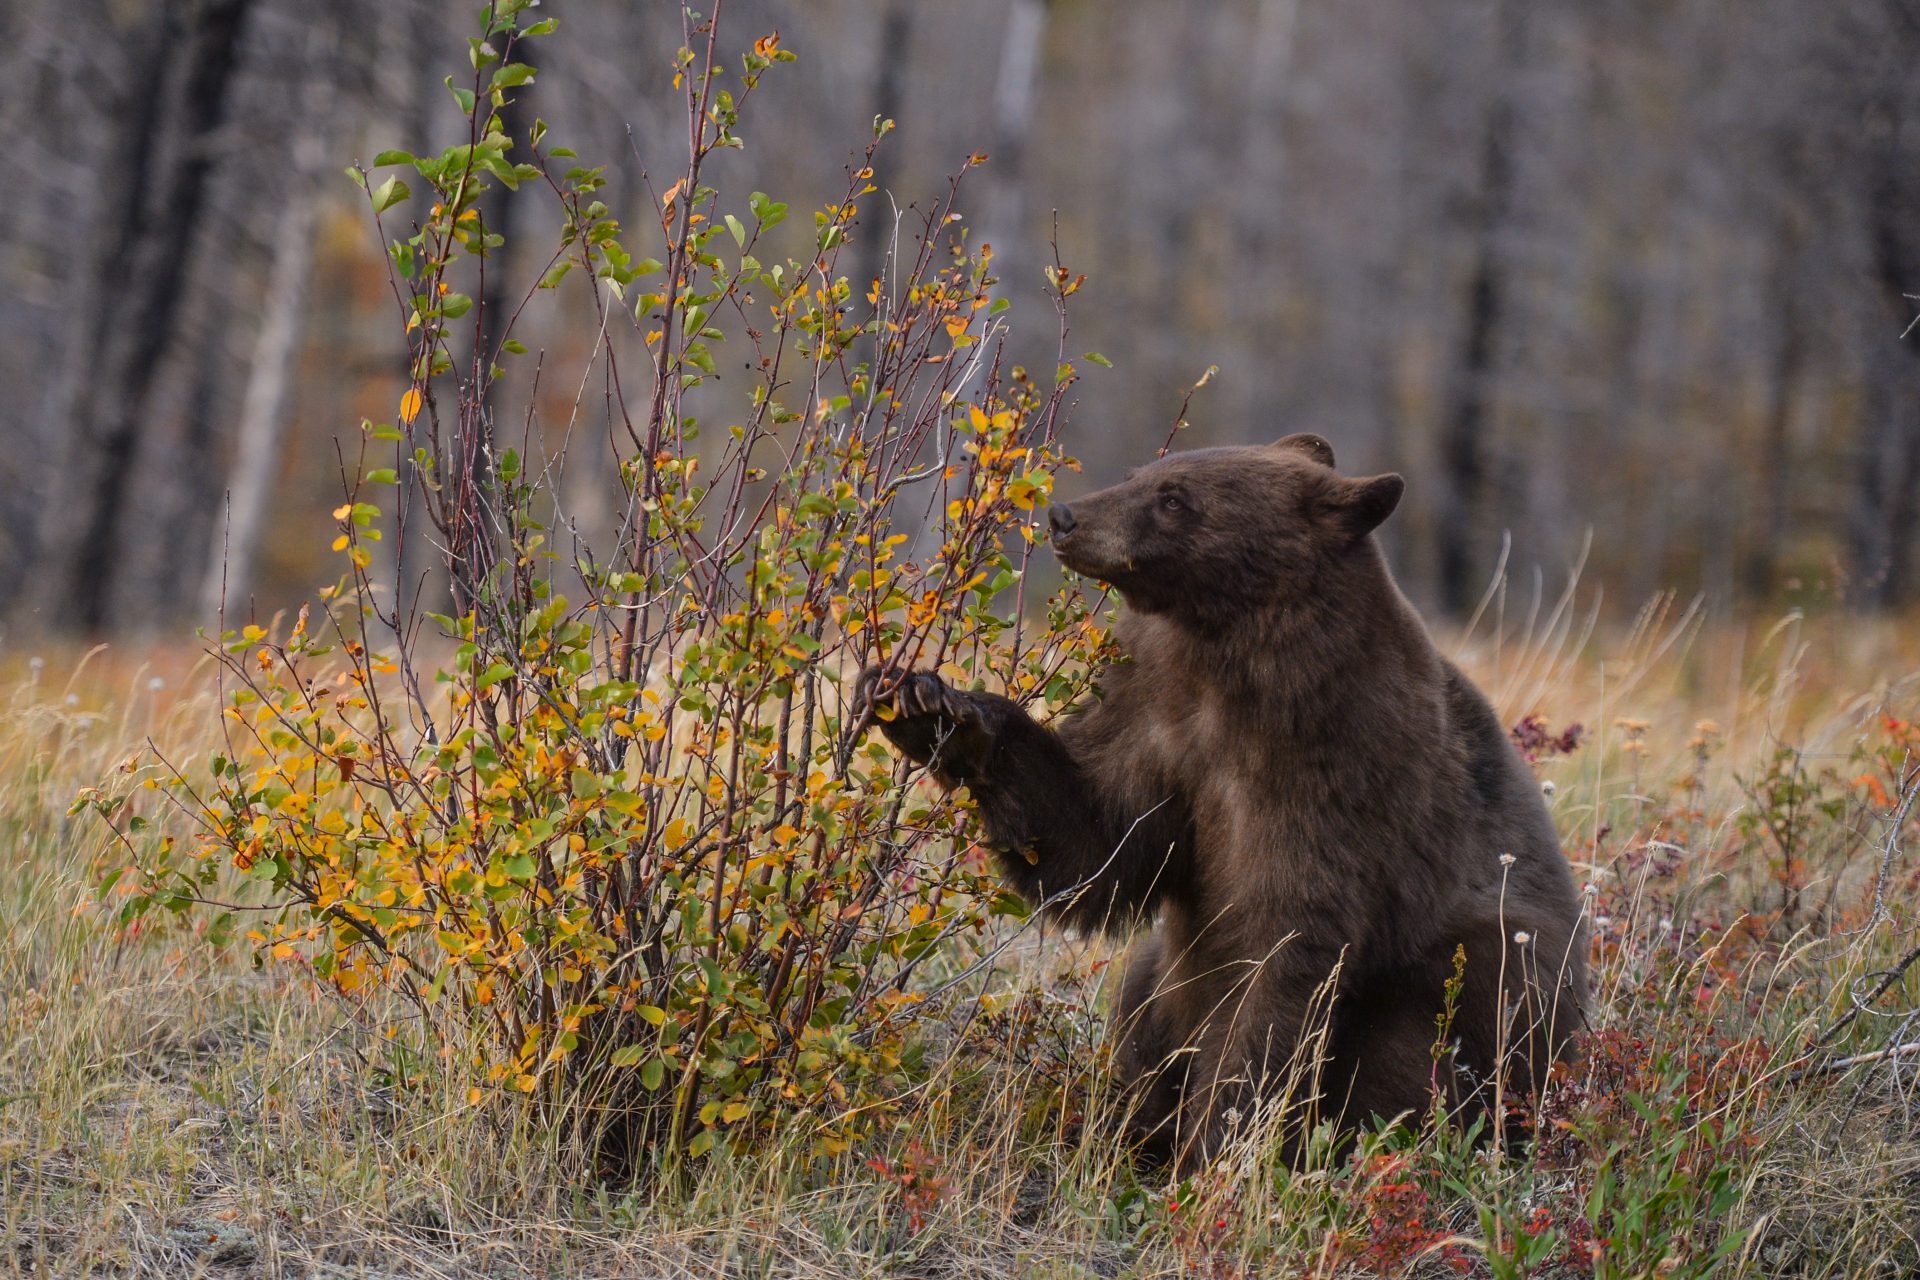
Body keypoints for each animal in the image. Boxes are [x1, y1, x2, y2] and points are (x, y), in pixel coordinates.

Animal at [860, 435, 1589, 1174]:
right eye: (1143, 474)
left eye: (1175, 498)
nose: (1066, 517)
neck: (1227, 654)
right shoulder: (1157, 712)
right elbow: (1093, 838)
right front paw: (926, 702)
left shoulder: (1332, 773)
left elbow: (1280, 950)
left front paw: (1213, 1150)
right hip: (1164, 970)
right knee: (1142, 993)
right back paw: (1132, 1123)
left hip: (1481, 974)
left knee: (1423, 1044)